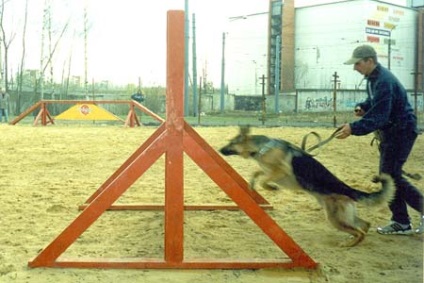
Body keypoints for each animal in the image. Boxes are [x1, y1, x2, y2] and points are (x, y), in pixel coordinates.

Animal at [220, 127, 396, 248]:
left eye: (231, 143)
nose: (220, 150)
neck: (262, 146)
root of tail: (348, 189)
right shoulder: (267, 170)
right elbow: (256, 173)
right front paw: (252, 185)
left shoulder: (281, 172)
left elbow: (264, 179)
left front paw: (271, 188)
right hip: (342, 216)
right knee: (365, 225)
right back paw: (353, 241)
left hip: (335, 219)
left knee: (360, 231)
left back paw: (348, 244)